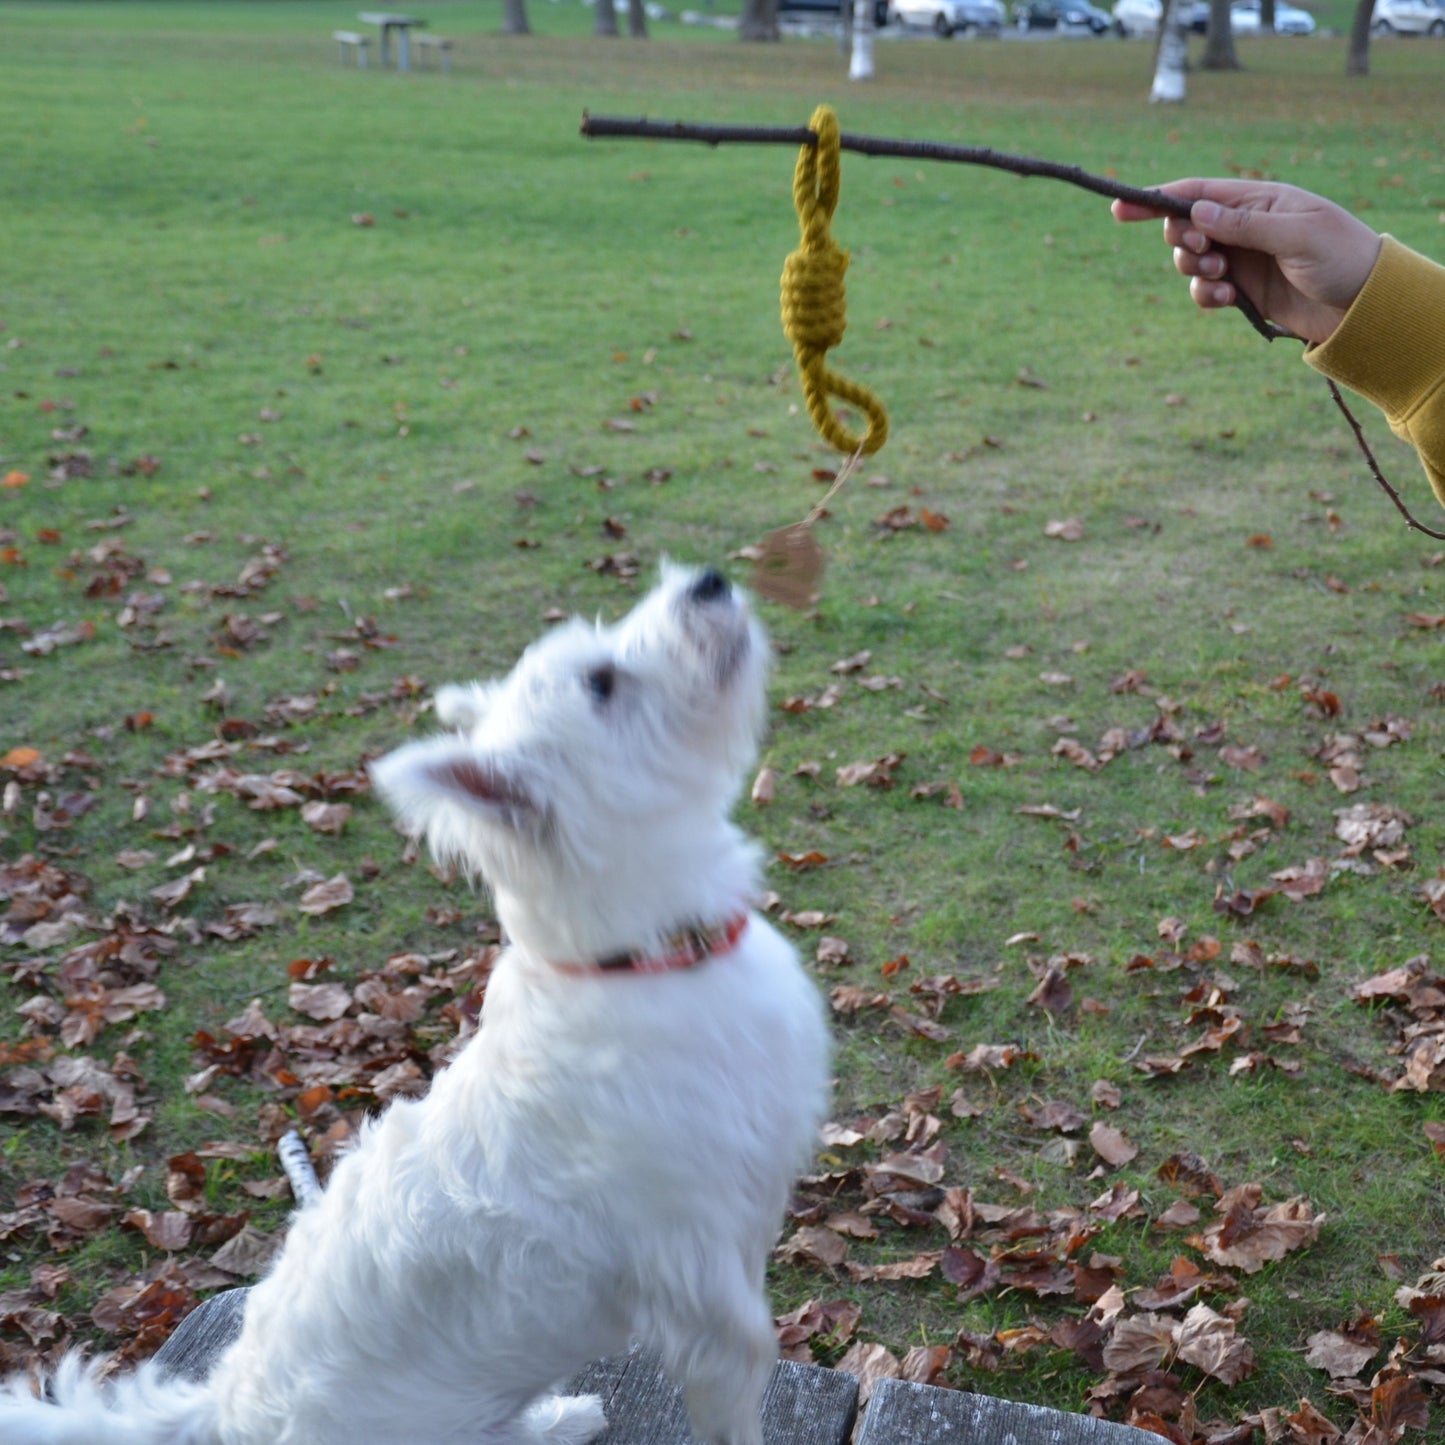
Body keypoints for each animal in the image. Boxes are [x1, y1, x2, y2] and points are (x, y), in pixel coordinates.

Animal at [0, 563, 832, 1445]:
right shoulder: (703, 1294)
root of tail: (223, 1401)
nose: (706, 580)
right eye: (601, 682)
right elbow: (733, 1402)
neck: (638, 958)